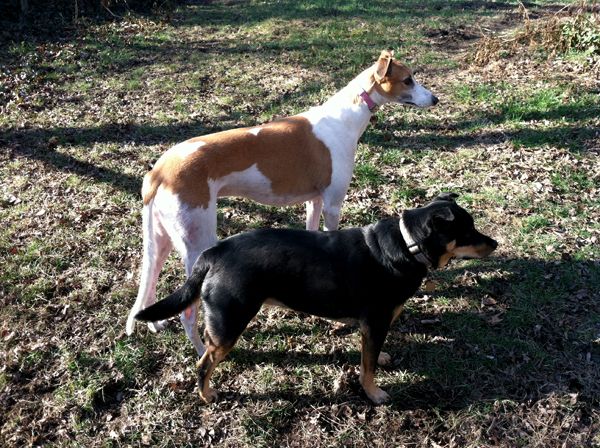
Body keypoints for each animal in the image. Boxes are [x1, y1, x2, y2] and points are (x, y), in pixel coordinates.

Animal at [126, 50, 438, 356]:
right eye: (408, 80)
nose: (435, 99)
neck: (344, 117)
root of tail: (160, 170)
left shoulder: (314, 201)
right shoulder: (333, 203)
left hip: (162, 241)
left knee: (150, 284)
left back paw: (155, 325)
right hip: (196, 241)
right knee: (187, 313)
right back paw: (204, 350)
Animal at [136, 194, 496, 404]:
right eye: (467, 232)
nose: (495, 243)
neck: (408, 245)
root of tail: (213, 253)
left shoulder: (374, 326)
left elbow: (370, 355)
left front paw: (380, 359)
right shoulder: (375, 321)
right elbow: (366, 369)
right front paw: (374, 393)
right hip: (229, 323)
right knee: (203, 363)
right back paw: (207, 394)